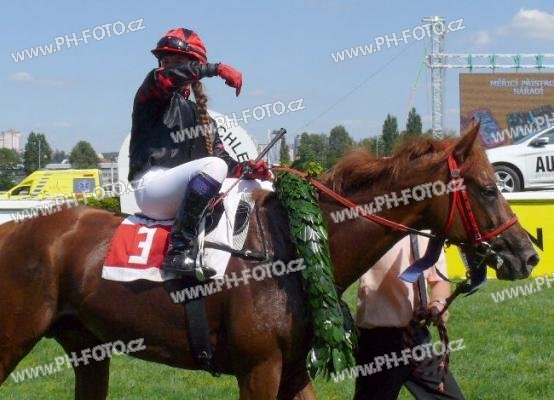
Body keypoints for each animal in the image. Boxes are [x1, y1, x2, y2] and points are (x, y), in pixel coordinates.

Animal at [0, 124, 538, 399]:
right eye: (488, 188)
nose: (528, 254)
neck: (293, 248)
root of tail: (13, 228)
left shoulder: (295, 371)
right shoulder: (258, 369)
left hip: (87, 349)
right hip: (14, 341)